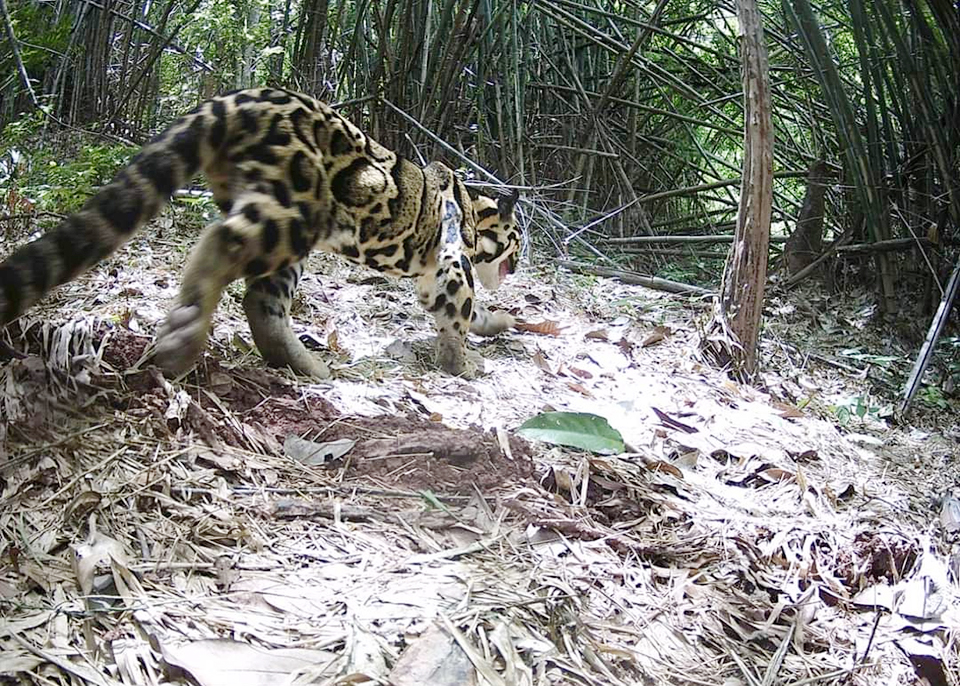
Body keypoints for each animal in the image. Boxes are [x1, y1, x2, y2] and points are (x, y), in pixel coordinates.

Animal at [0, 88, 521, 379]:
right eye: (519, 242)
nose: (519, 264)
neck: (472, 211)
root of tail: (234, 99)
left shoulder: (435, 275)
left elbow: (469, 312)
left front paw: (498, 323)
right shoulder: (452, 262)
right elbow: (459, 312)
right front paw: (462, 365)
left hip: (285, 226)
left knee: (260, 300)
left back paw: (303, 365)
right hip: (294, 210)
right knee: (221, 243)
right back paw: (184, 339)